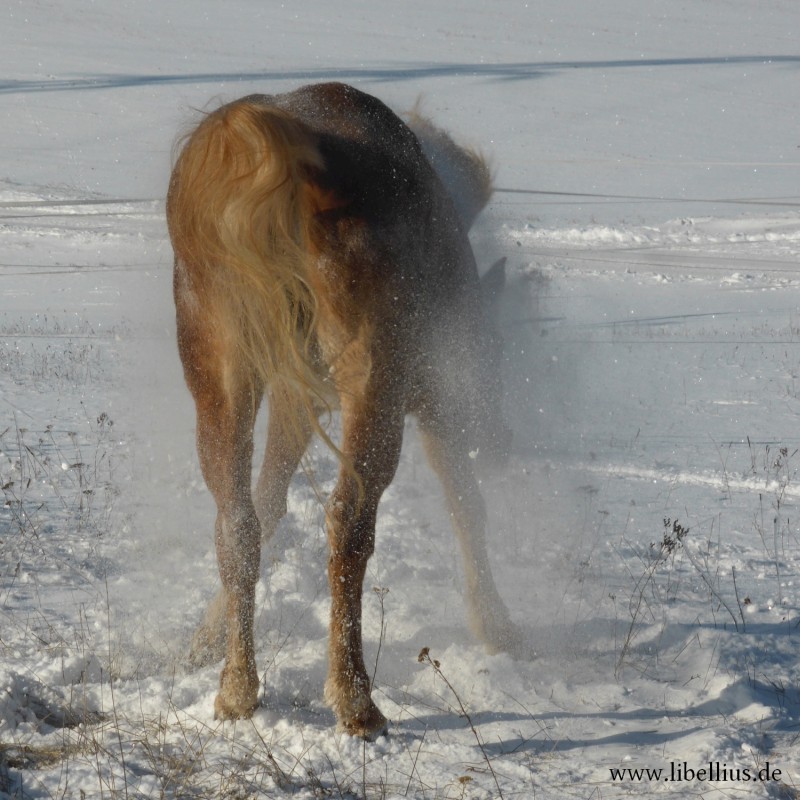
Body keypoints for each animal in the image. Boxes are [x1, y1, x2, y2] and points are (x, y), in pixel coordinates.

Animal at [166, 82, 516, 739]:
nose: (503, 441)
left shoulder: (294, 396)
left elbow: (269, 505)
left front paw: (201, 640)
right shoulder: (434, 396)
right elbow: (468, 505)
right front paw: (497, 625)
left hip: (221, 374)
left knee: (237, 523)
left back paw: (236, 690)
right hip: (374, 387)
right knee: (348, 523)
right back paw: (355, 700)